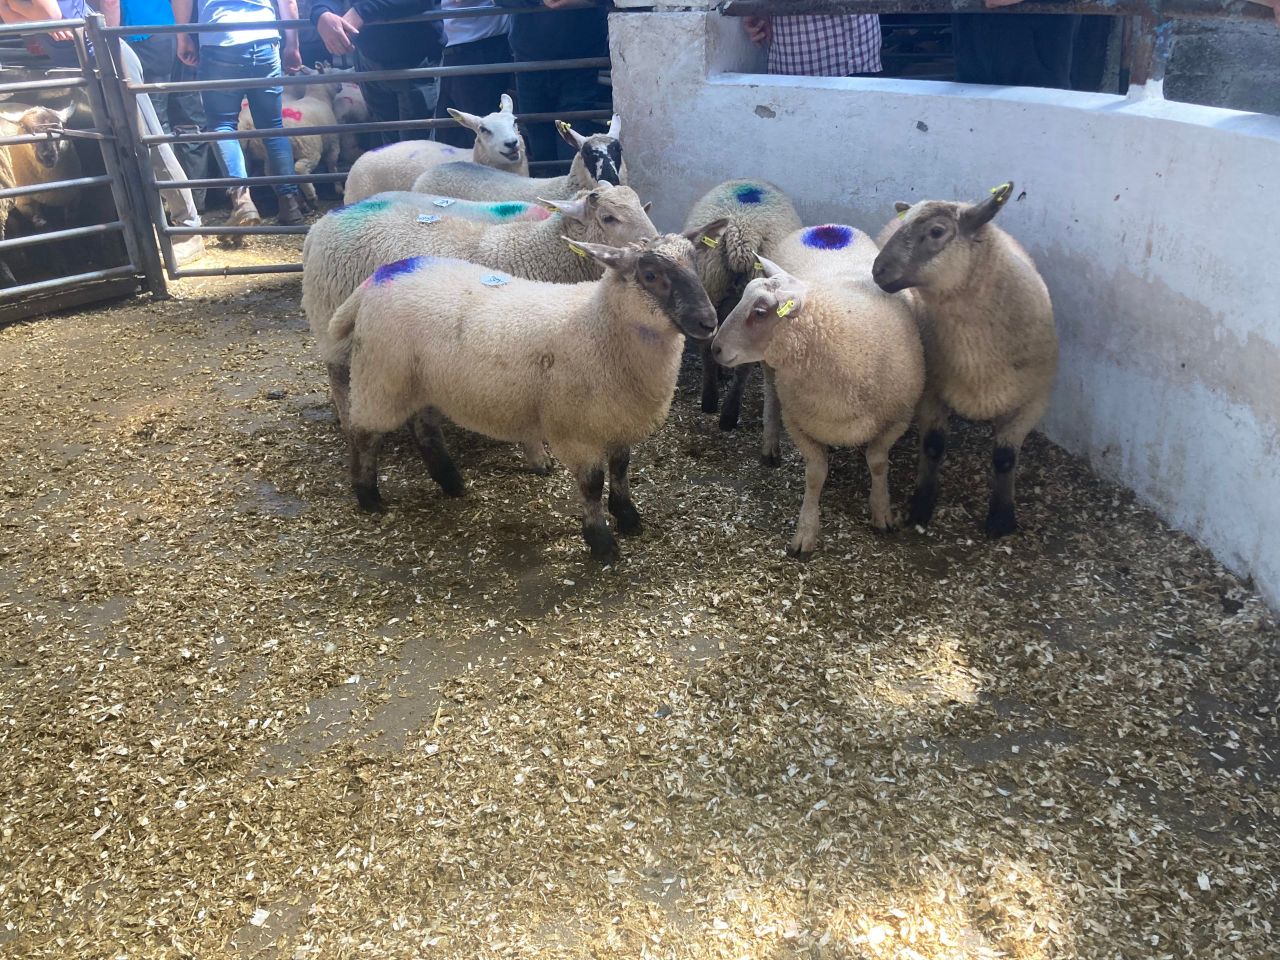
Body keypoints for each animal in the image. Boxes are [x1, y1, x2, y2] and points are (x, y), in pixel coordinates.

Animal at [324, 222, 726, 559]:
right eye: (651, 275)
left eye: (695, 263)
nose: (710, 322)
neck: (598, 323)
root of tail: (380, 277)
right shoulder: (575, 430)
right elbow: (592, 485)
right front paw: (601, 542)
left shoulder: (616, 420)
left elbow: (622, 469)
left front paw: (628, 517)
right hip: (381, 376)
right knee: (364, 434)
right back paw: (369, 496)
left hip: (419, 381)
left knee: (423, 427)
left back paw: (451, 482)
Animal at [680, 179, 801, 434]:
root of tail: (741, 233)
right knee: (742, 365)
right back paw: (728, 414)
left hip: (709, 284)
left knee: (707, 346)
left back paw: (710, 400)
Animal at [711, 225, 924, 555]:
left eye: (759, 312)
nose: (715, 348)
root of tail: (824, 229)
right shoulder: (797, 421)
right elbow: (815, 475)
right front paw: (806, 532)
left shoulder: (898, 418)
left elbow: (877, 462)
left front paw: (882, 512)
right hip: (771, 372)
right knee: (771, 398)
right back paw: (770, 445)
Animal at [871, 181, 1058, 538]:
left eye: (937, 231)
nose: (877, 271)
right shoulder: (931, 391)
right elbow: (932, 446)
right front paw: (922, 504)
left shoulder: (1033, 401)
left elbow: (1005, 458)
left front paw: (1001, 518)